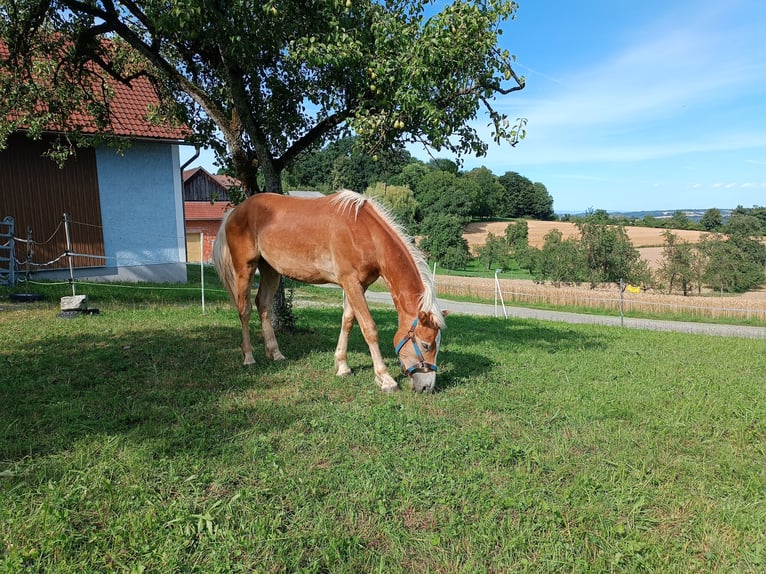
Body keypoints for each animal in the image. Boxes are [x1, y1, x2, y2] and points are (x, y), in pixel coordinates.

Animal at [213, 191, 448, 394]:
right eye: (426, 344)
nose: (427, 386)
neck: (363, 232)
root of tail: (234, 212)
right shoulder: (351, 282)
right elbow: (369, 328)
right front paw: (385, 379)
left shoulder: (358, 285)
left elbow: (348, 321)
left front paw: (342, 366)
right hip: (245, 268)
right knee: (244, 310)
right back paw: (249, 357)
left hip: (270, 269)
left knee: (263, 305)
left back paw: (276, 353)